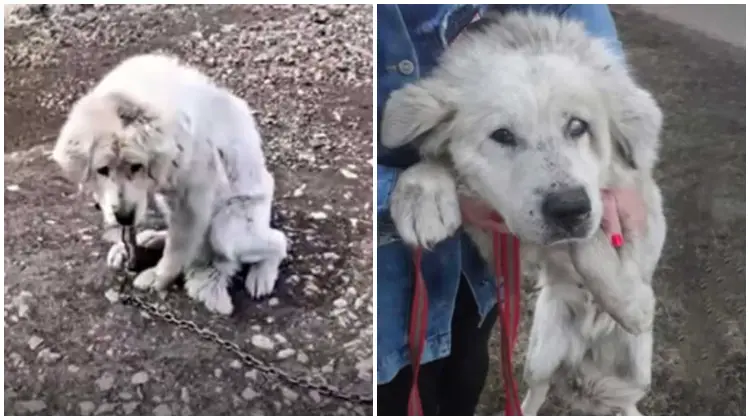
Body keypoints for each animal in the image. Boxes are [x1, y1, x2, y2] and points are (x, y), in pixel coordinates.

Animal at [52, 52, 288, 316]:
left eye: (136, 166)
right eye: (103, 170)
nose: (122, 216)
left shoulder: (192, 199)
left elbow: (177, 247)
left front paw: (157, 276)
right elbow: (136, 228)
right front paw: (127, 247)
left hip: (227, 230)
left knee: (277, 241)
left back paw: (261, 275)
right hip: (170, 205)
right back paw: (152, 237)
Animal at [384, 11, 668, 416]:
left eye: (578, 126)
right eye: (502, 135)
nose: (569, 209)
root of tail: (585, 346)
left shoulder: (639, 208)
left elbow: (593, 238)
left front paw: (632, 304)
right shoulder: (499, 237)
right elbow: (439, 163)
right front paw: (422, 194)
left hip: (635, 374)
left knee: (624, 401)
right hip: (541, 355)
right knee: (538, 390)